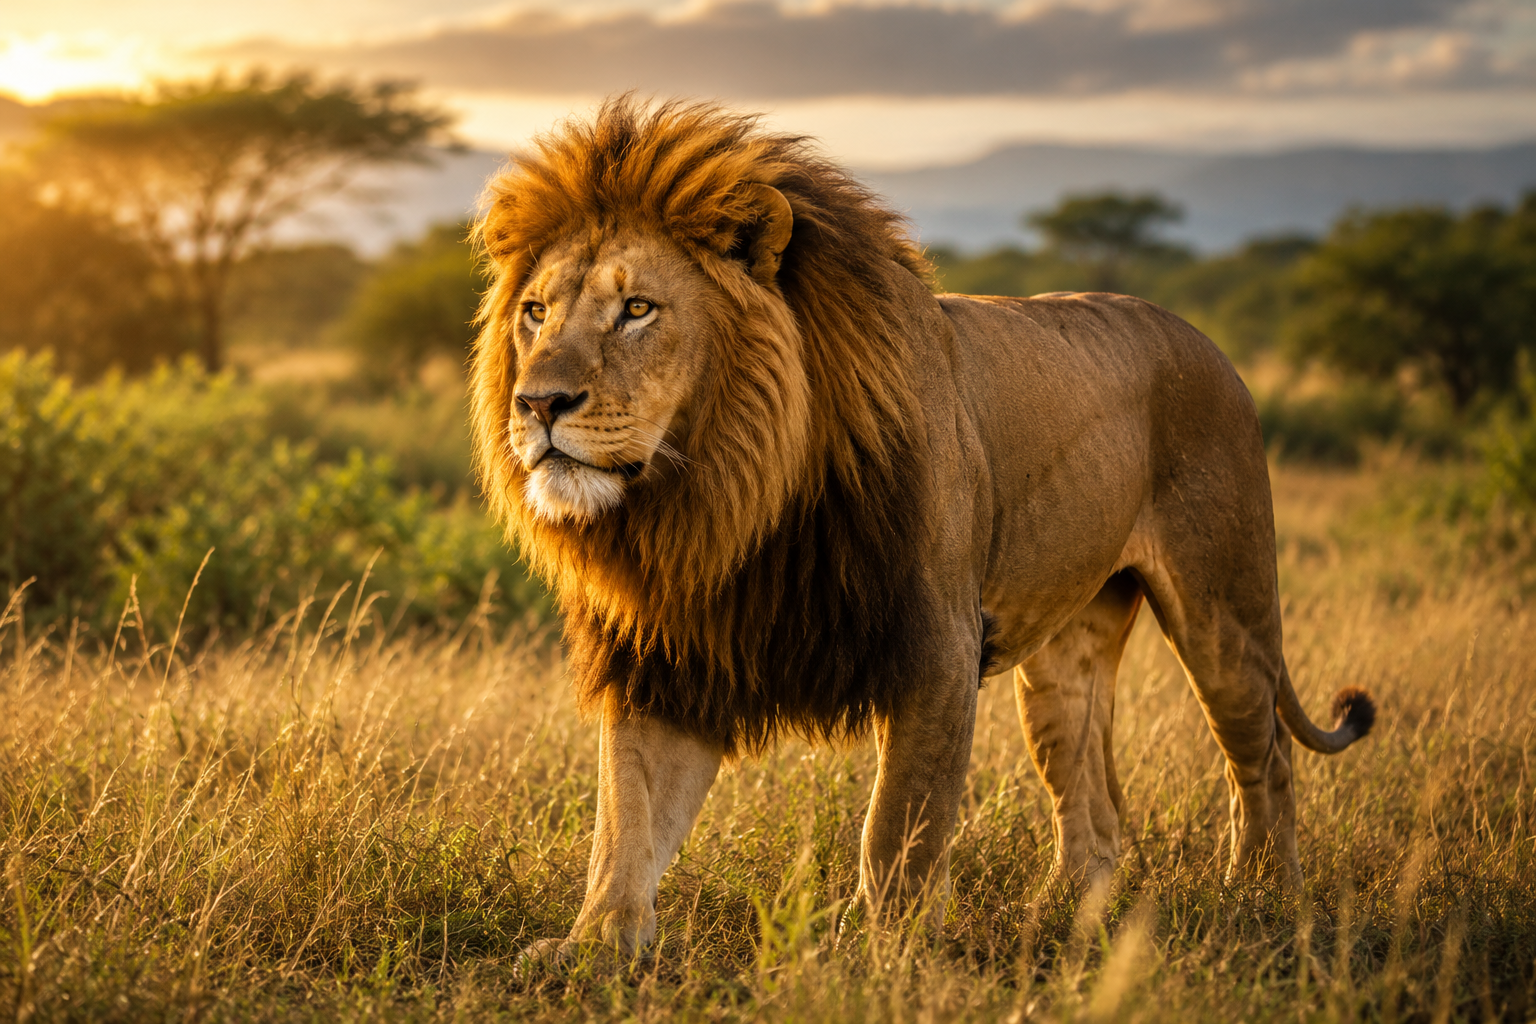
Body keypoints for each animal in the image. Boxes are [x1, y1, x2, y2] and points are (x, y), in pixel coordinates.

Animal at [469, 99, 1375, 963]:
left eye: (637, 309)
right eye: (536, 313)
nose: (538, 404)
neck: (723, 499)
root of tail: (1207, 342)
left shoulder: (935, 645)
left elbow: (898, 823)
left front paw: (877, 951)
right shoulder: (671, 654)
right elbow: (626, 816)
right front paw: (593, 945)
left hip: (1223, 612)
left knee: (1264, 757)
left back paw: (1259, 898)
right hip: (1063, 664)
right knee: (1095, 803)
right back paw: (1062, 917)